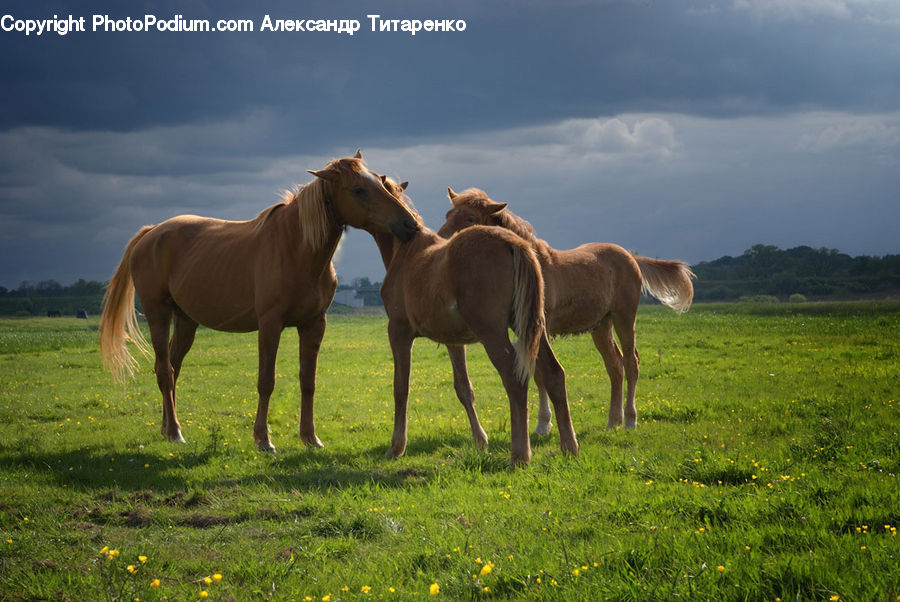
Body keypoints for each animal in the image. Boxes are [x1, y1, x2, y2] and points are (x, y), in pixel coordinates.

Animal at [99, 152, 420, 452]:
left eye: (380, 182)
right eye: (358, 190)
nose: (410, 225)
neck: (296, 249)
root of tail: (151, 232)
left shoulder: (314, 324)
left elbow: (308, 381)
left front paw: (310, 437)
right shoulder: (269, 325)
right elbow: (266, 381)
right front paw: (263, 439)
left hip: (186, 320)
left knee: (171, 367)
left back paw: (168, 430)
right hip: (158, 314)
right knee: (165, 371)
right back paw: (176, 432)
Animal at [373, 177, 578, 466]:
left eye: (470, 218)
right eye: (448, 215)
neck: (409, 251)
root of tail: (513, 243)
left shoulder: (399, 332)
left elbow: (400, 388)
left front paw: (396, 446)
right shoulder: (453, 340)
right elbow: (463, 388)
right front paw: (480, 441)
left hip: (493, 333)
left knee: (514, 379)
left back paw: (520, 454)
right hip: (530, 330)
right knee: (554, 374)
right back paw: (569, 446)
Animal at [438, 188, 695, 432]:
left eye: (470, 218)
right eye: (448, 214)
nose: (440, 244)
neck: (536, 265)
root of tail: (630, 256)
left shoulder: (539, 326)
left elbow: (541, 373)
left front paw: (543, 424)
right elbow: (536, 373)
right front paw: (543, 424)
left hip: (624, 317)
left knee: (631, 363)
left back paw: (630, 420)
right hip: (601, 325)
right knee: (614, 365)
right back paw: (613, 421)